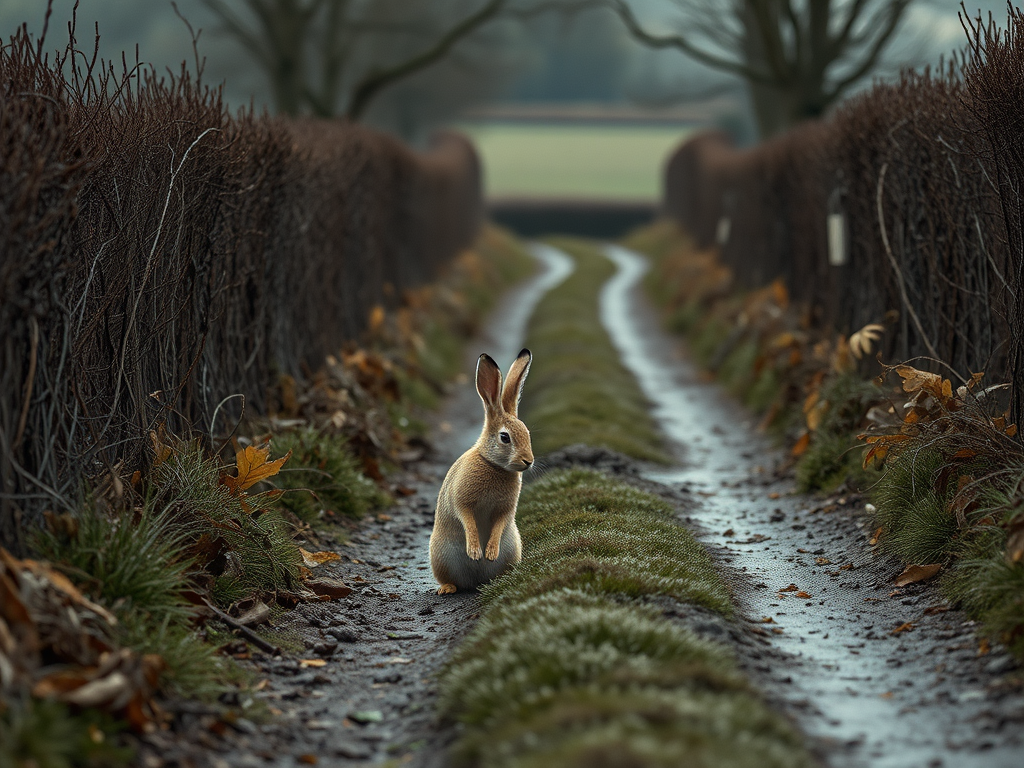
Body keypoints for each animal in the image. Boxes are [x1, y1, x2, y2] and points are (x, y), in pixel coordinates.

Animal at [429, 348, 534, 594]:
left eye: (527, 434)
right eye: (505, 437)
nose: (528, 461)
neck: (493, 465)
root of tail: (475, 583)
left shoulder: (505, 509)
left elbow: (499, 524)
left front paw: (490, 552)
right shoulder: (461, 500)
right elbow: (467, 519)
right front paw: (476, 552)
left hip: (513, 549)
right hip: (440, 555)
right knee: (450, 579)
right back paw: (447, 588)